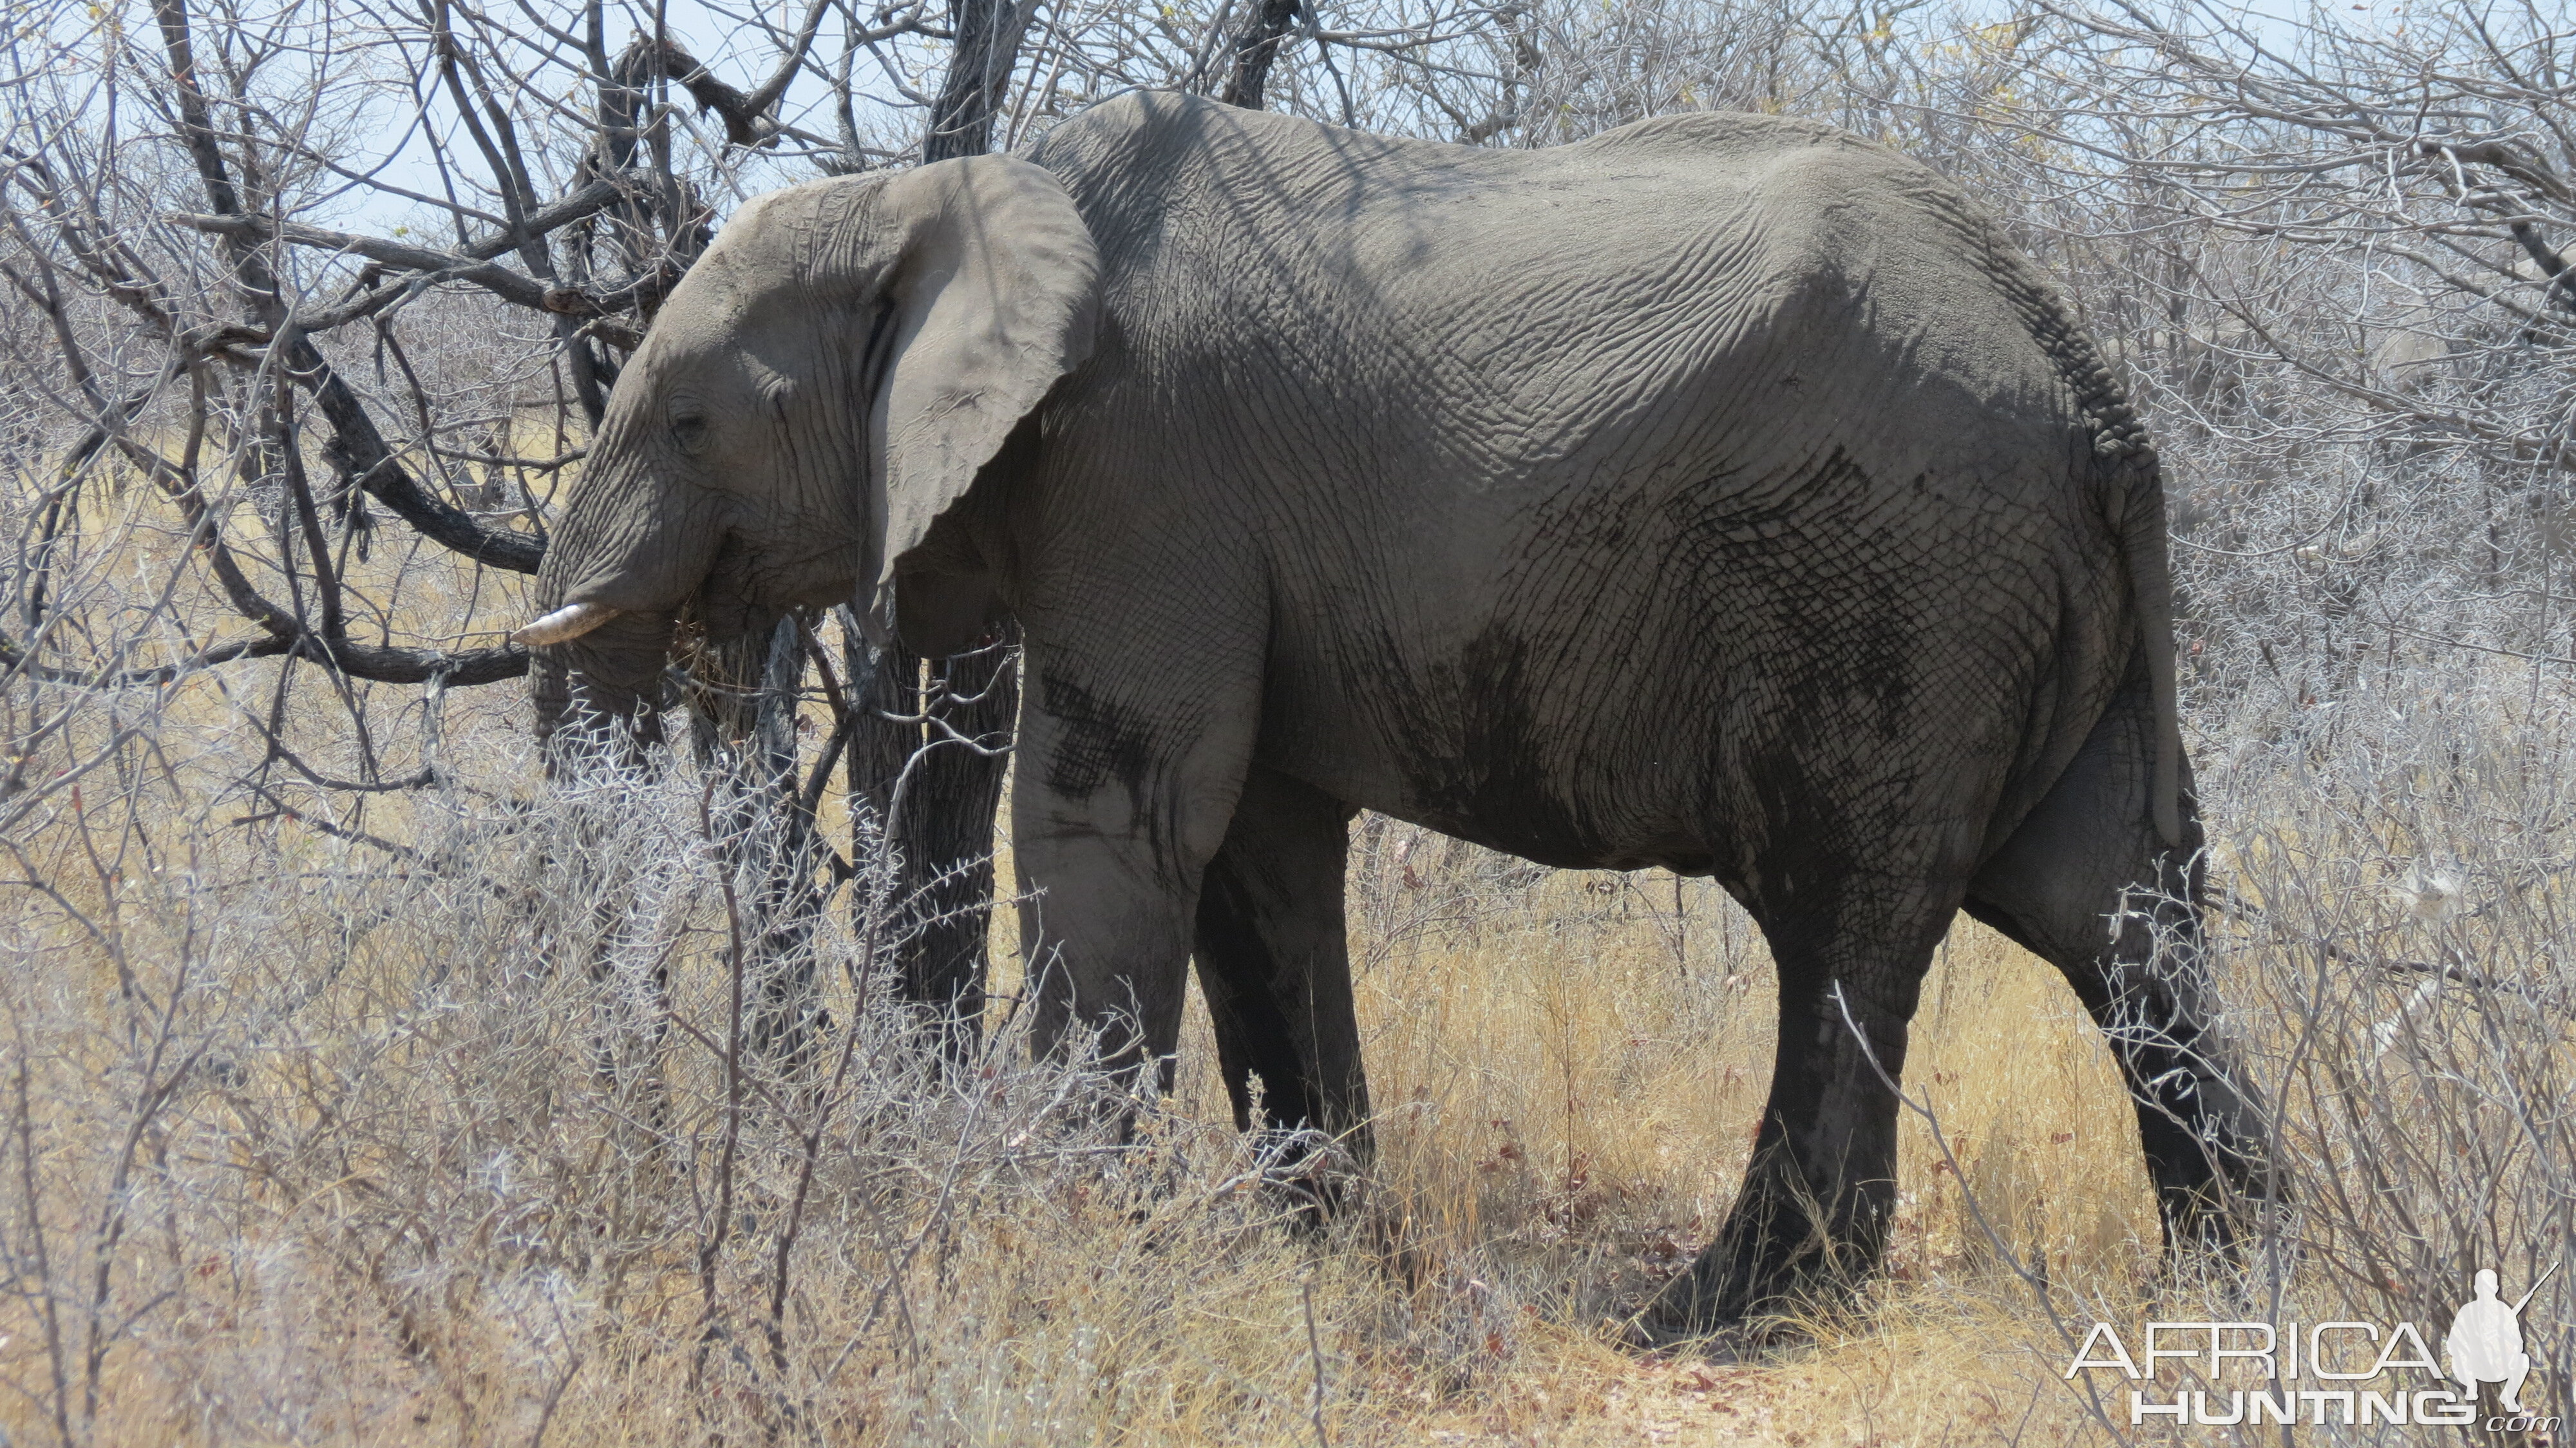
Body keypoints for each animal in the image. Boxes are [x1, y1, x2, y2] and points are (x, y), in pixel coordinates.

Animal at [518, 90, 2257, 1329]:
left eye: (690, 424)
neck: (949, 193)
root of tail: (2092, 383)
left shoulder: (1144, 473)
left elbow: (1112, 813)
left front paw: (1054, 1231)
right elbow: (1254, 859)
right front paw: (1331, 1258)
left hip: (1892, 580)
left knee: (1844, 921)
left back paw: (1711, 1319)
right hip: (2017, 600)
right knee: (2110, 916)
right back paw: (2236, 1279)